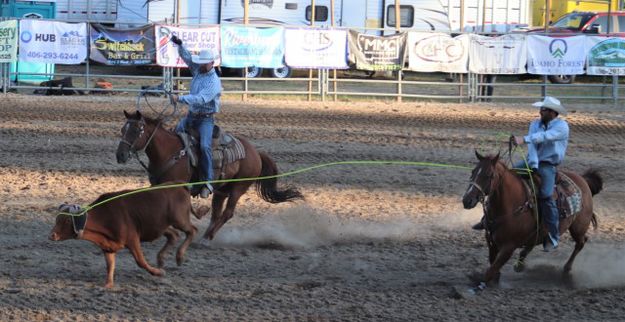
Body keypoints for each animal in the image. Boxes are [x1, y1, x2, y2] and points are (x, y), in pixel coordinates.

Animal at [49, 184, 205, 290]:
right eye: (57, 219)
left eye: (67, 220)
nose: (52, 235)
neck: (104, 216)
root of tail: (180, 185)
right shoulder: (108, 246)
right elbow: (110, 266)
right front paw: (108, 284)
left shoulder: (132, 239)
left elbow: (141, 261)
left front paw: (158, 273)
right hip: (161, 226)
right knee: (174, 235)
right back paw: (161, 258)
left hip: (180, 220)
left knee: (192, 231)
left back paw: (179, 256)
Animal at [117, 110, 304, 239]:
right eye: (122, 130)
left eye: (137, 130)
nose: (120, 155)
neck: (169, 152)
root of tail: (256, 153)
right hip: (221, 190)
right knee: (216, 213)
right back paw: (206, 233)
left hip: (238, 188)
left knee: (227, 213)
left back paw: (207, 237)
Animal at [460, 151, 604, 290]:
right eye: (473, 171)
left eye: (489, 175)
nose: (467, 200)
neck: (511, 205)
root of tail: (583, 180)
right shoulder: (491, 241)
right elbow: (493, 266)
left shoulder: (509, 247)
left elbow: (491, 270)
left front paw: (479, 286)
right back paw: (520, 263)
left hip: (577, 228)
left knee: (581, 242)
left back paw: (566, 270)